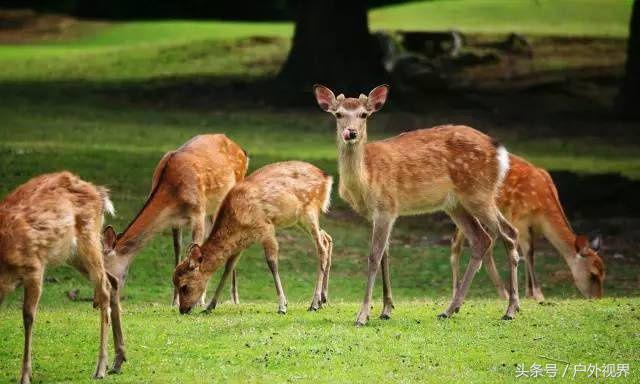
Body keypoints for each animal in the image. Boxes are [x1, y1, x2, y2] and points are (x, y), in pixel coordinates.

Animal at [0, 172, 120, 384]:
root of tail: (99, 193)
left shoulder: (35, 266)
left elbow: (28, 316)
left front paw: (25, 375)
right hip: (72, 254)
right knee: (112, 280)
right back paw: (118, 361)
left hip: (88, 239)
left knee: (104, 287)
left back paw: (100, 368)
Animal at [101, 134, 249, 374]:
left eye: (108, 274)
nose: (100, 301)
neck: (172, 191)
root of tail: (241, 149)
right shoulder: (174, 222)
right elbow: (178, 252)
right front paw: (173, 300)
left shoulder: (197, 212)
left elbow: (196, 249)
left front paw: (199, 301)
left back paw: (235, 298)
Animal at [175, 161, 336, 316]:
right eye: (174, 282)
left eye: (184, 286)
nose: (183, 310)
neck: (237, 221)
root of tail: (327, 178)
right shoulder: (242, 243)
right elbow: (228, 268)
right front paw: (209, 307)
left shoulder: (266, 228)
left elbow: (272, 263)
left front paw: (282, 306)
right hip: (299, 220)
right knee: (326, 238)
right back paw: (323, 299)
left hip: (309, 212)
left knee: (321, 247)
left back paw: (314, 304)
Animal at [312, 84, 524, 324]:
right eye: (338, 114)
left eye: (364, 114)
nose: (351, 133)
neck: (365, 179)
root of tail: (501, 152)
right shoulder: (378, 214)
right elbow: (385, 255)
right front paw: (386, 309)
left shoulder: (386, 206)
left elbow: (374, 256)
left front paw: (363, 315)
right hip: (456, 204)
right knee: (482, 239)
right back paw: (450, 309)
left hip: (479, 193)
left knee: (509, 233)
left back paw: (510, 309)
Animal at [450, 154, 604, 302]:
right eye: (593, 274)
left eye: (604, 273)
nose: (597, 298)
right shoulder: (521, 221)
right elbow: (529, 255)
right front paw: (539, 295)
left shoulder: (532, 229)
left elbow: (527, 254)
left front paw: (529, 294)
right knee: (456, 243)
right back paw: (456, 292)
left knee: (485, 246)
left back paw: (504, 294)